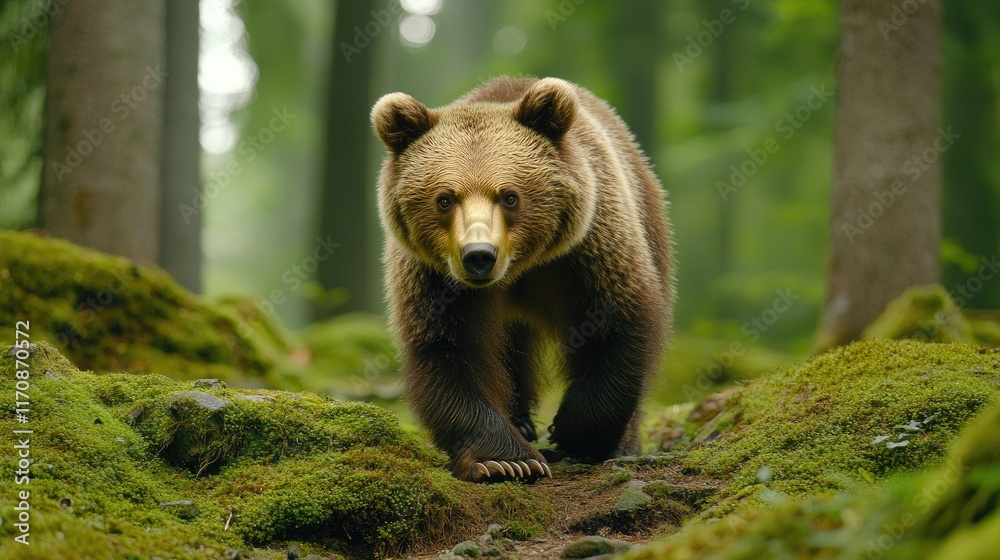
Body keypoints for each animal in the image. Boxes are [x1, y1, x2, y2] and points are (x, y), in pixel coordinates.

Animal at [371, 76, 673, 483]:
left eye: (510, 196)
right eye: (445, 199)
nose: (478, 255)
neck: (518, 269)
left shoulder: (587, 253)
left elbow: (615, 326)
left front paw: (572, 434)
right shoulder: (435, 279)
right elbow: (450, 350)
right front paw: (505, 460)